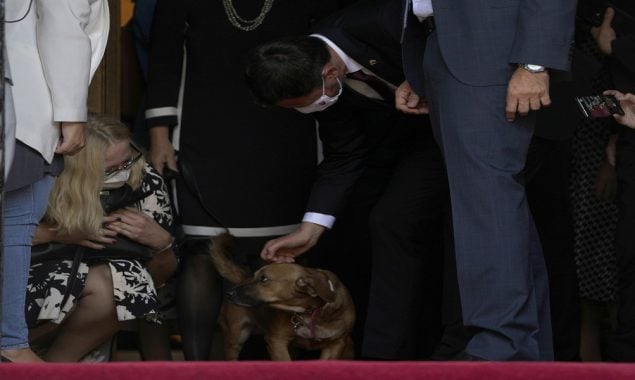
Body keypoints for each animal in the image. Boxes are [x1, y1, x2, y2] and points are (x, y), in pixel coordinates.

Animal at [210, 233, 356, 360]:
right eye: (256, 276)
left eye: (263, 279)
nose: (229, 294)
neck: (311, 311)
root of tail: (243, 278)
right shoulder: (276, 341)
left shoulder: (337, 344)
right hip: (235, 339)